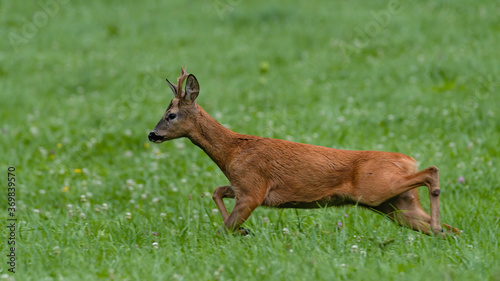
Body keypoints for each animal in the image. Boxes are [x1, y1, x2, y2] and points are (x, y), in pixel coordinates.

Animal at [147, 66, 458, 235]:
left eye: (171, 115)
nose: (152, 134)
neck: (231, 152)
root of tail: (407, 159)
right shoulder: (242, 185)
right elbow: (217, 192)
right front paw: (245, 231)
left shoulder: (253, 188)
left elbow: (224, 228)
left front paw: (240, 231)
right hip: (396, 206)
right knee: (451, 228)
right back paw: (444, 230)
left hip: (376, 189)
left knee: (431, 171)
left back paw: (438, 221)